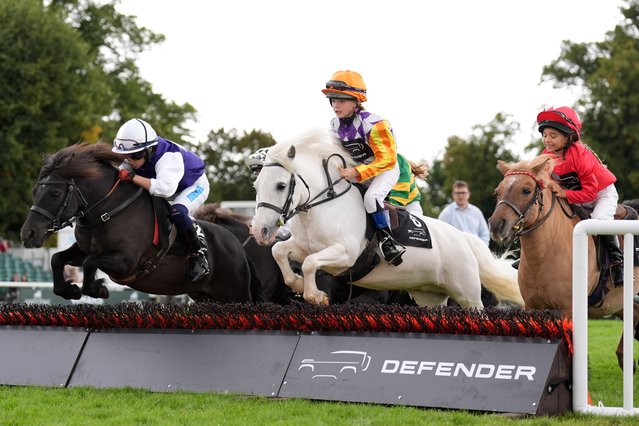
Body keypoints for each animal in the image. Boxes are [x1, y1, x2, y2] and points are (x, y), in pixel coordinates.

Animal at [21, 143, 258, 302]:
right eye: (34, 191)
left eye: (55, 193)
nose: (28, 234)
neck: (108, 211)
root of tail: (236, 244)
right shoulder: (84, 249)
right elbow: (58, 259)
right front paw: (70, 290)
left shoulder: (126, 260)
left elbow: (89, 262)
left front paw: (98, 288)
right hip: (204, 295)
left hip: (235, 293)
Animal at [252, 130, 524, 306]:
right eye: (256, 185)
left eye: (280, 185)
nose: (259, 231)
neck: (322, 208)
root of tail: (462, 237)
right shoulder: (303, 246)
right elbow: (279, 251)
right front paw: (298, 285)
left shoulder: (345, 254)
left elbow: (309, 264)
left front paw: (315, 296)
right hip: (430, 296)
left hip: (468, 295)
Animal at [488, 156, 636, 370]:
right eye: (497, 191)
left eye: (526, 190)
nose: (496, 226)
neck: (544, 255)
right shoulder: (532, 306)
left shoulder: (568, 309)